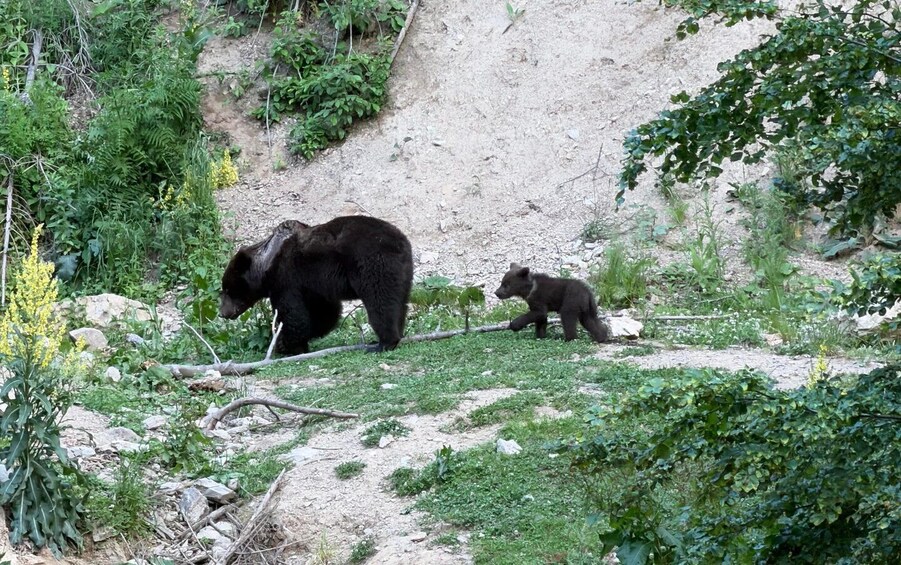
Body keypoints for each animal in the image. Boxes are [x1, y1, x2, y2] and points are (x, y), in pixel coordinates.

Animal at [219, 216, 414, 354]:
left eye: (228, 289)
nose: (222, 313)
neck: (267, 264)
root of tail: (401, 241)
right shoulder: (314, 286)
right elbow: (325, 314)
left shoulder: (287, 278)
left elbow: (293, 315)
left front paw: (284, 345)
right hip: (403, 272)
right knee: (400, 302)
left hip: (372, 263)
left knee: (380, 301)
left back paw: (383, 343)